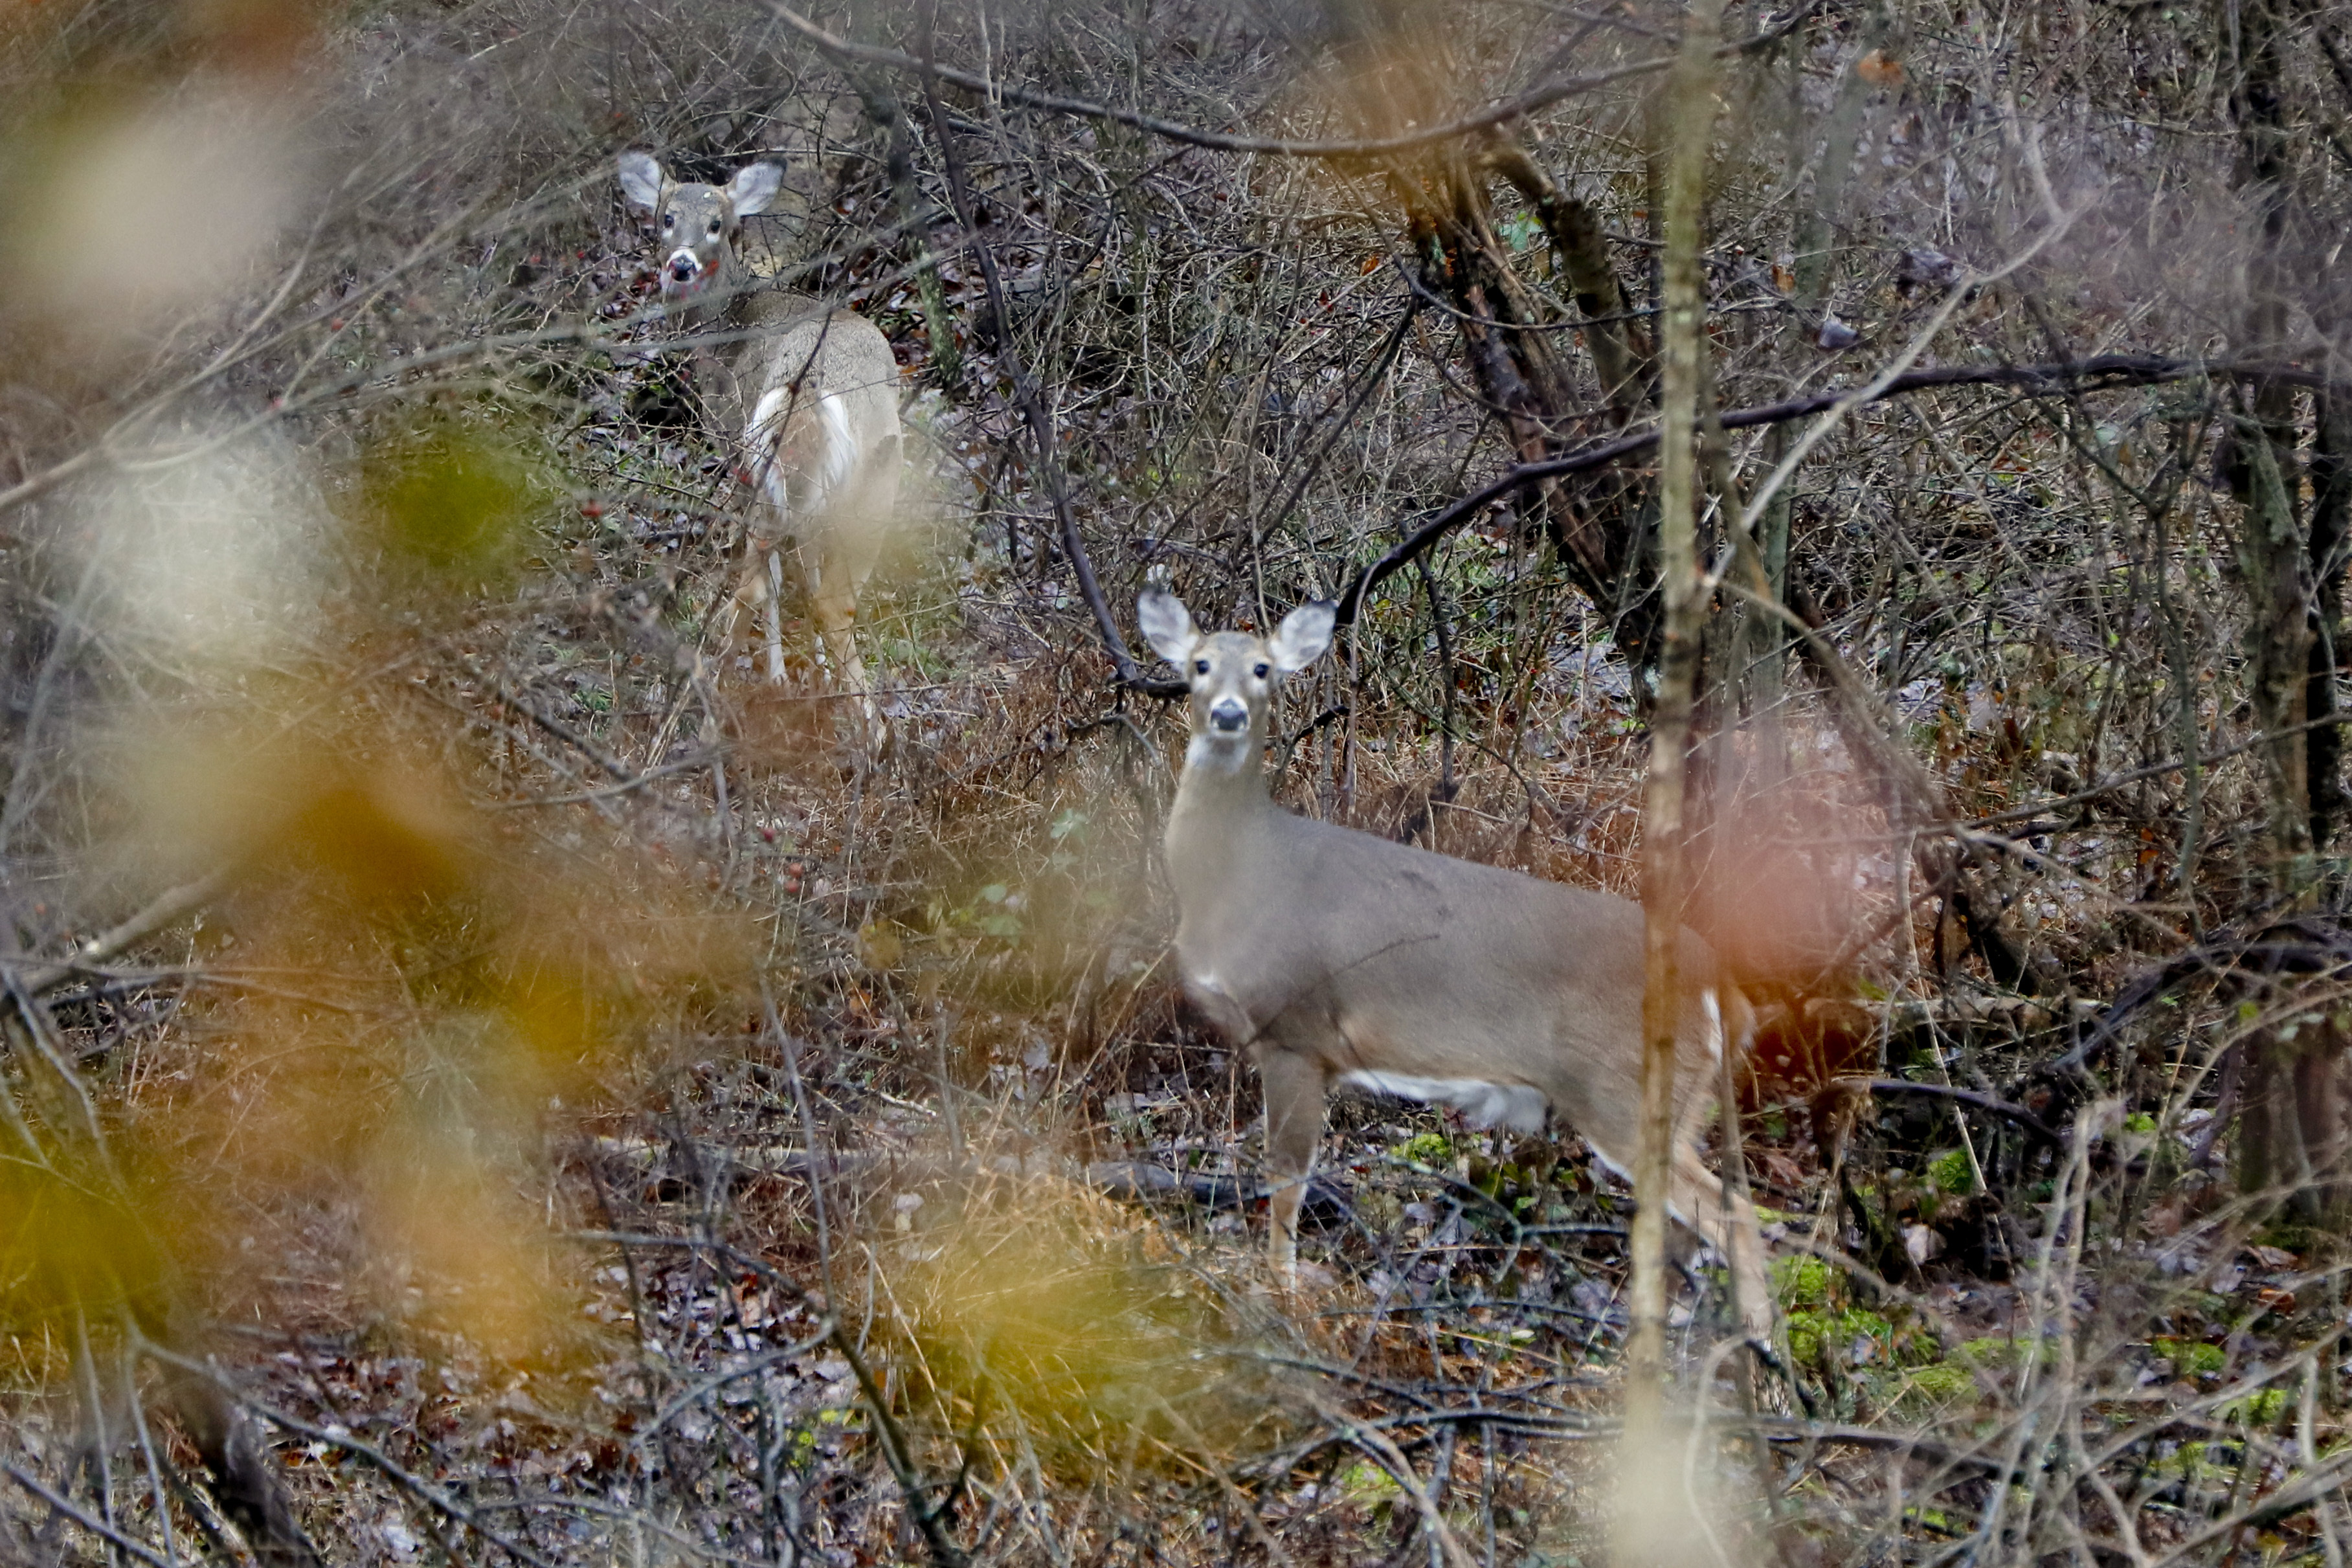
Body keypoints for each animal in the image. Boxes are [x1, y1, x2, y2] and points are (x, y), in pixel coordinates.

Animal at [616, 150, 902, 720]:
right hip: (870, 473)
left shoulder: (729, 436)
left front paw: (781, 672)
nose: (680, 265)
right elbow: (806, 569)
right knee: (833, 595)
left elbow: (773, 578)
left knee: (763, 584)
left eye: (716, 224)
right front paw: (813, 664)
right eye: (666, 217)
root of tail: (806, 390)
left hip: (772, 463)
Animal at [1137, 589, 1773, 1338]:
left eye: (1264, 669)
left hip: (1626, 1089)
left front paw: (1278, 1295)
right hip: (1683, 1102)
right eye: (1199, 664)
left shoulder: (1296, 1032)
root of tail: (1718, 983)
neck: (1237, 872)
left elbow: (1287, 1178)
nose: (1230, 713)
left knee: (1732, 1216)